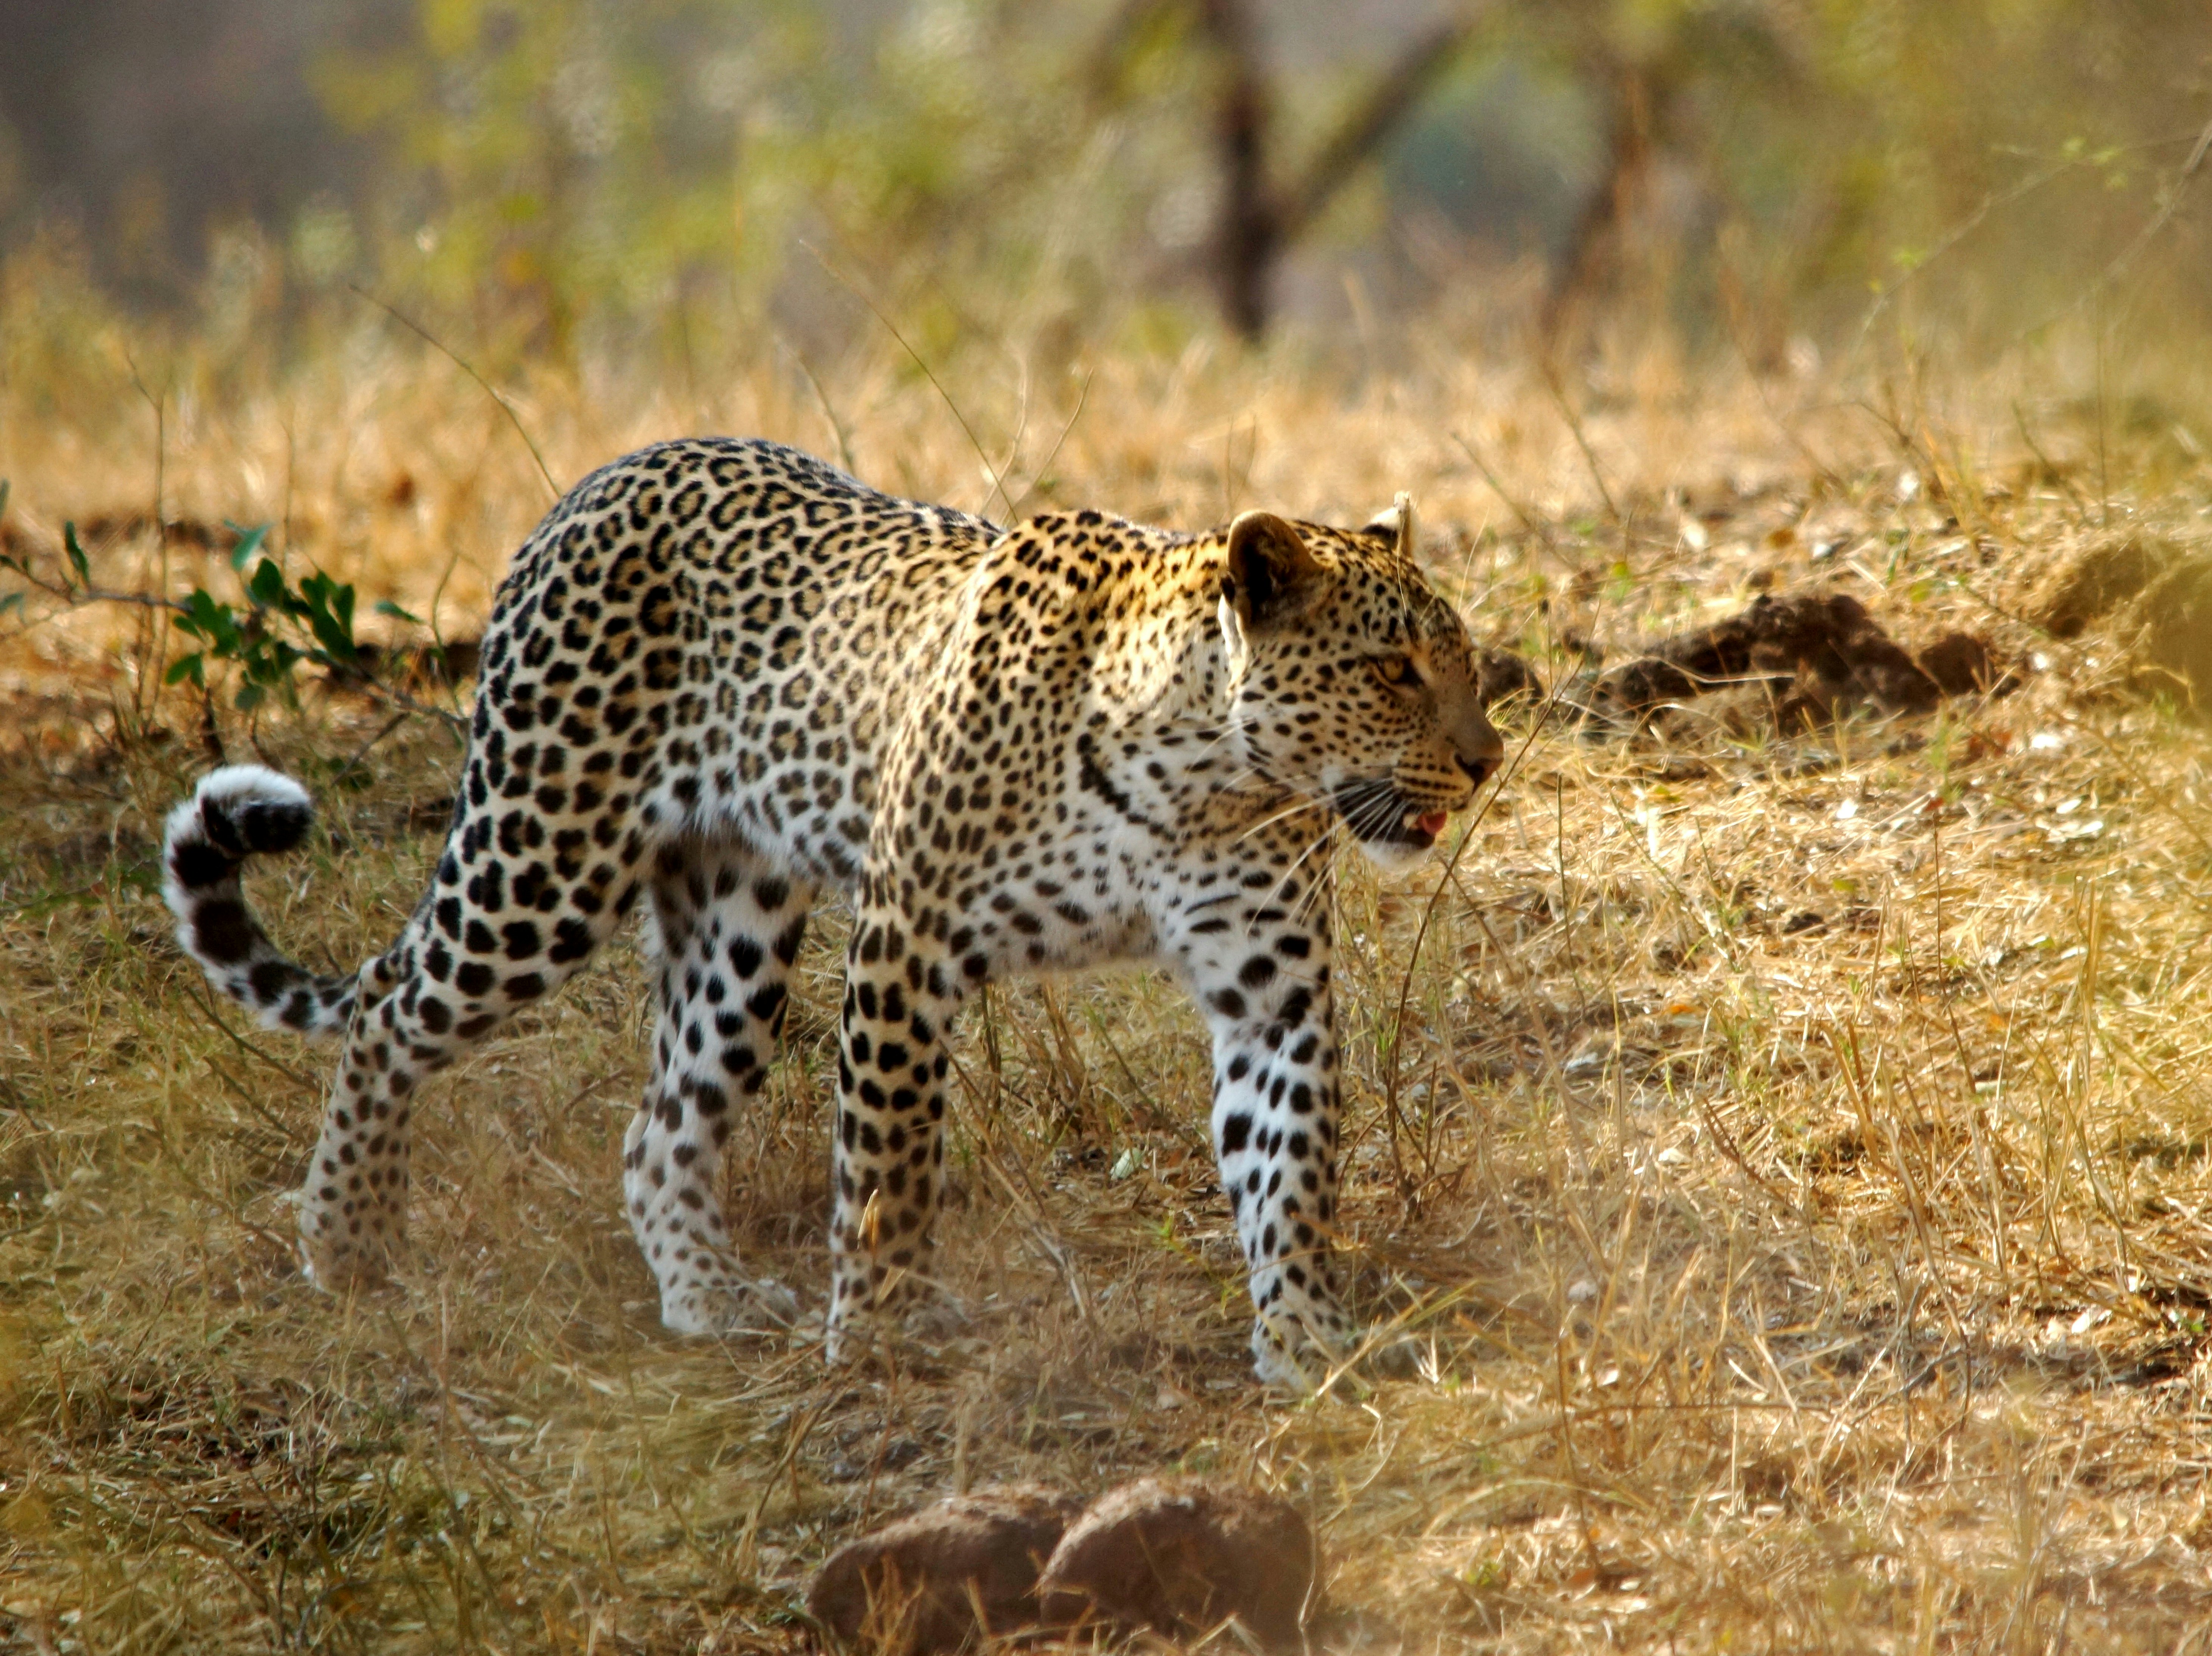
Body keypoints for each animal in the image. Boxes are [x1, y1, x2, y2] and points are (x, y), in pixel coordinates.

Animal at [160, 436, 1504, 1380]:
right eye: (1392, 672)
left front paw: (1308, 1332)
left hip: (737, 928)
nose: (1487, 761)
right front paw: (889, 1326)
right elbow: (891, 1157)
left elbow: (1289, 1164)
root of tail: (595, 481)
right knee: (391, 1007)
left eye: (1464, 663)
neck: (1201, 771)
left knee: (657, 1127)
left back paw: (707, 1295)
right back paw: (347, 1241)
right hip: (541, 857)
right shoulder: (912, 939)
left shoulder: (1269, 985)